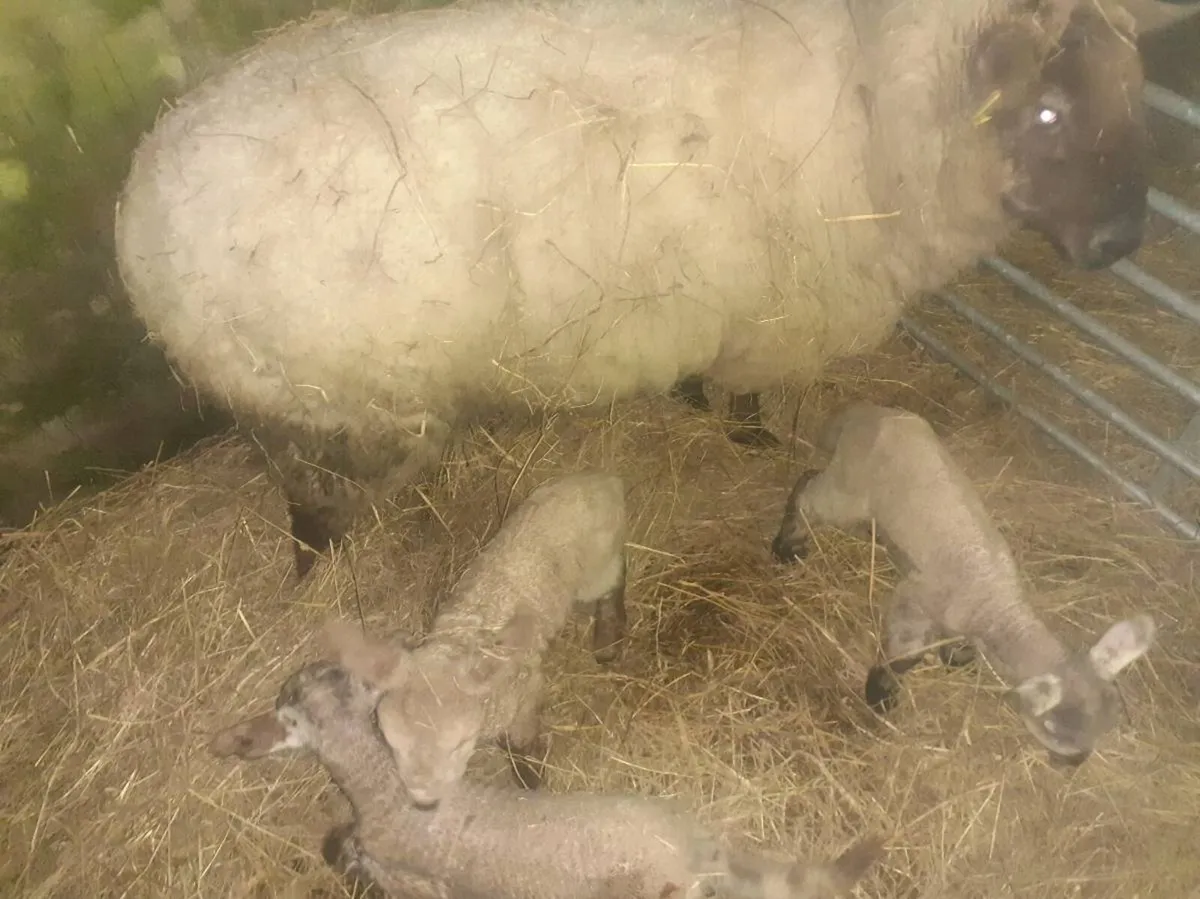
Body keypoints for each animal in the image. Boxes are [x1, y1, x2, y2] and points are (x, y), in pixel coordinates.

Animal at [114, 0, 1151, 577]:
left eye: (1135, 95)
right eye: (1048, 113)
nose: (1122, 240)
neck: (877, 103)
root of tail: (137, 224)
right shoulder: (772, 316)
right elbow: (746, 399)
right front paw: (747, 434)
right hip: (336, 402)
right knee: (314, 491)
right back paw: (317, 559)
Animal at [322, 471, 628, 808]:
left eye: (459, 745)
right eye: (394, 746)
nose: (425, 801)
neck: (457, 644)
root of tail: (602, 480)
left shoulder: (525, 691)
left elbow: (520, 741)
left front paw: (531, 778)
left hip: (597, 567)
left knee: (615, 579)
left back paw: (608, 642)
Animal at [770, 402, 1157, 766]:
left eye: (1105, 725)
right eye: (1055, 729)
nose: (1075, 763)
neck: (996, 603)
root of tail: (870, 412)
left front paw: (957, 657)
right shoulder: (916, 600)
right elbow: (906, 652)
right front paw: (881, 692)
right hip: (849, 488)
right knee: (809, 493)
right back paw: (788, 544)